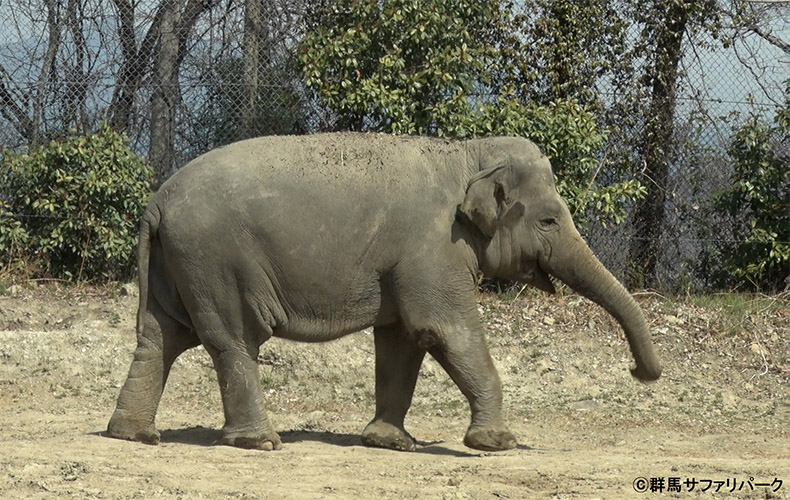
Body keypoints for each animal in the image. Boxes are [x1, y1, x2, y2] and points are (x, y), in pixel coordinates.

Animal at [106, 133, 664, 454]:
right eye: (549, 220)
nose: (639, 372)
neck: (467, 151)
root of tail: (157, 200)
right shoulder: (432, 245)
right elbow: (443, 329)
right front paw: (497, 444)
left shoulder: (409, 261)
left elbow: (401, 340)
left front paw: (391, 443)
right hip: (216, 261)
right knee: (233, 340)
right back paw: (260, 443)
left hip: (179, 263)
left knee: (159, 338)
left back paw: (134, 435)